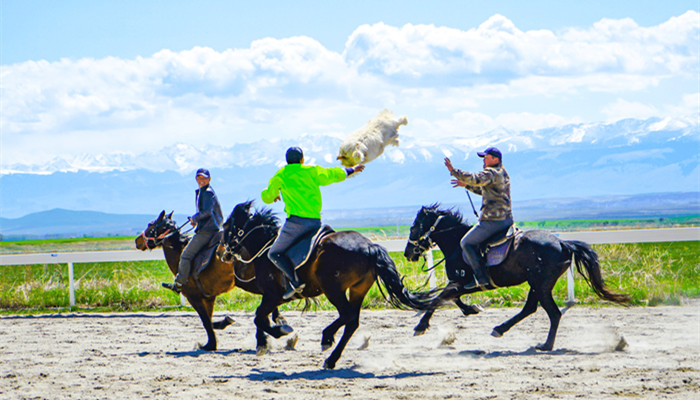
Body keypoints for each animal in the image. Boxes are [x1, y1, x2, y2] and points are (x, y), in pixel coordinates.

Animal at [135, 211, 292, 352]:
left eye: (150, 225)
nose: (137, 241)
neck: (180, 252)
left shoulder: (194, 297)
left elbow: (205, 321)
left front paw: (210, 345)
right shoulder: (209, 297)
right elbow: (210, 320)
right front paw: (224, 323)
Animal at [220, 202, 438, 370]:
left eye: (227, 225)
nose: (223, 252)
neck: (266, 249)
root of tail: (370, 246)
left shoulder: (273, 295)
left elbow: (259, 316)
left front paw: (276, 333)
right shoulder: (273, 297)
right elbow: (261, 316)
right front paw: (266, 339)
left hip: (333, 289)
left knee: (347, 315)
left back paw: (326, 338)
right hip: (357, 289)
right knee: (352, 322)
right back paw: (331, 358)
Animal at [402, 205, 632, 352]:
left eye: (413, 227)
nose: (407, 253)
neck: (457, 244)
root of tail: (562, 243)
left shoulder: (462, 283)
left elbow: (438, 299)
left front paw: (420, 327)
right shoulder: (460, 285)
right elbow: (451, 298)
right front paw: (471, 309)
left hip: (541, 285)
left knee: (553, 313)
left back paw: (545, 345)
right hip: (537, 284)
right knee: (531, 308)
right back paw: (502, 330)